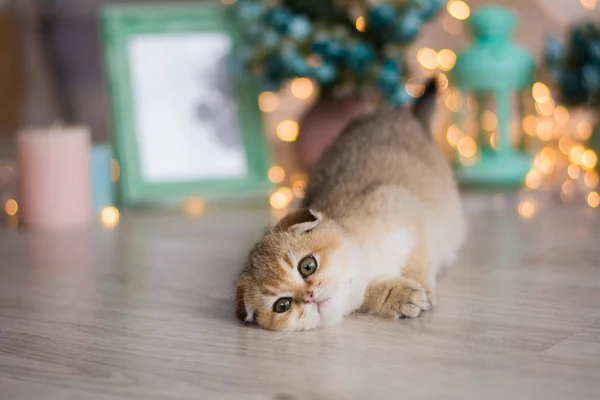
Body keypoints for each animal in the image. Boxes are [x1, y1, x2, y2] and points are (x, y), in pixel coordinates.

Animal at [234, 80, 464, 332]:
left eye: (307, 266)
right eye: (282, 305)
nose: (309, 296)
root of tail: (405, 116)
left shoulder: (397, 201)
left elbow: (418, 259)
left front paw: (423, 286)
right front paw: (397, 295)